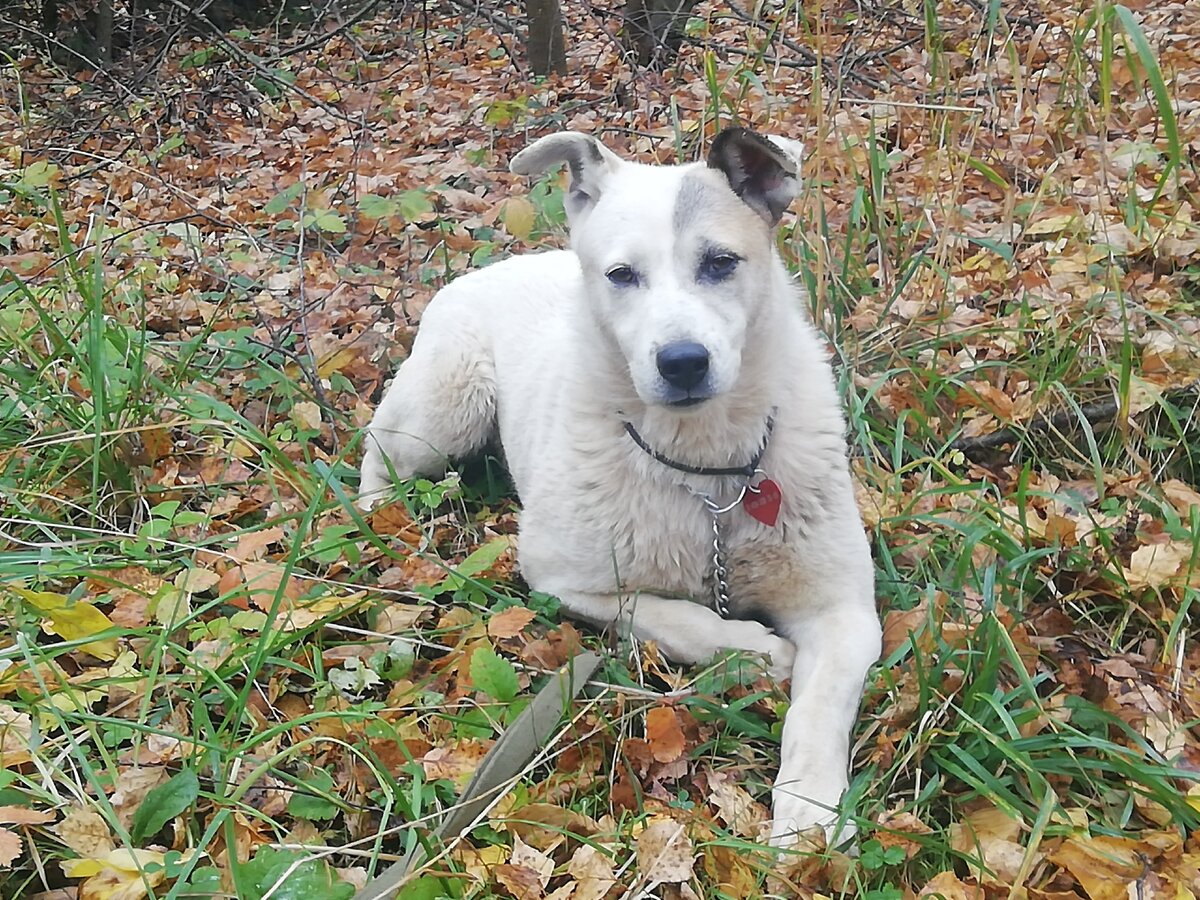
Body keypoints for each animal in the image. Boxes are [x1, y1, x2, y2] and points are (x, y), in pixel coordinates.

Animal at [357, 130, 883, 849]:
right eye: (621, 275)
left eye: (721, 262)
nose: (683, 362)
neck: (703, 475)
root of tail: (490, 270)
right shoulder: (563, 579)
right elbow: (674, 615)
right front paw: (752, 648)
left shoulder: (845, 613)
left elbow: (820, 708)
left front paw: (807, 811)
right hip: (442, 415)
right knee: (376, 446)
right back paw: (376, 512)